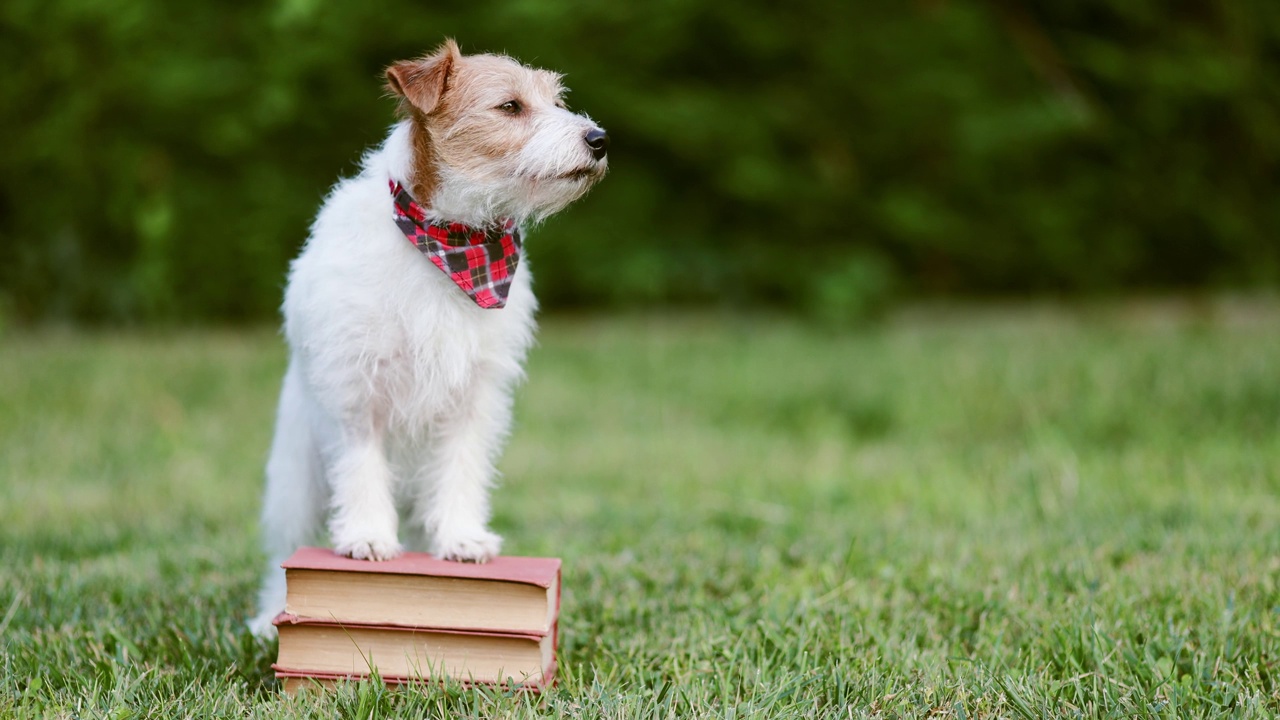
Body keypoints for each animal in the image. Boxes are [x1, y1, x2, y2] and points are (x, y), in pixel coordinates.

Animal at [252, 39, 611, 632]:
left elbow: (461, 469)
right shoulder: (355, 388)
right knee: (285, 551)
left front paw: (460, 539)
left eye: (556, 101)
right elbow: (361, 464)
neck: (453, 242)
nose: (600, 139)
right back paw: (268, 617)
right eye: (510, 106)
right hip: (294, 482)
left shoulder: (474, 396)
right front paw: (368, 537)